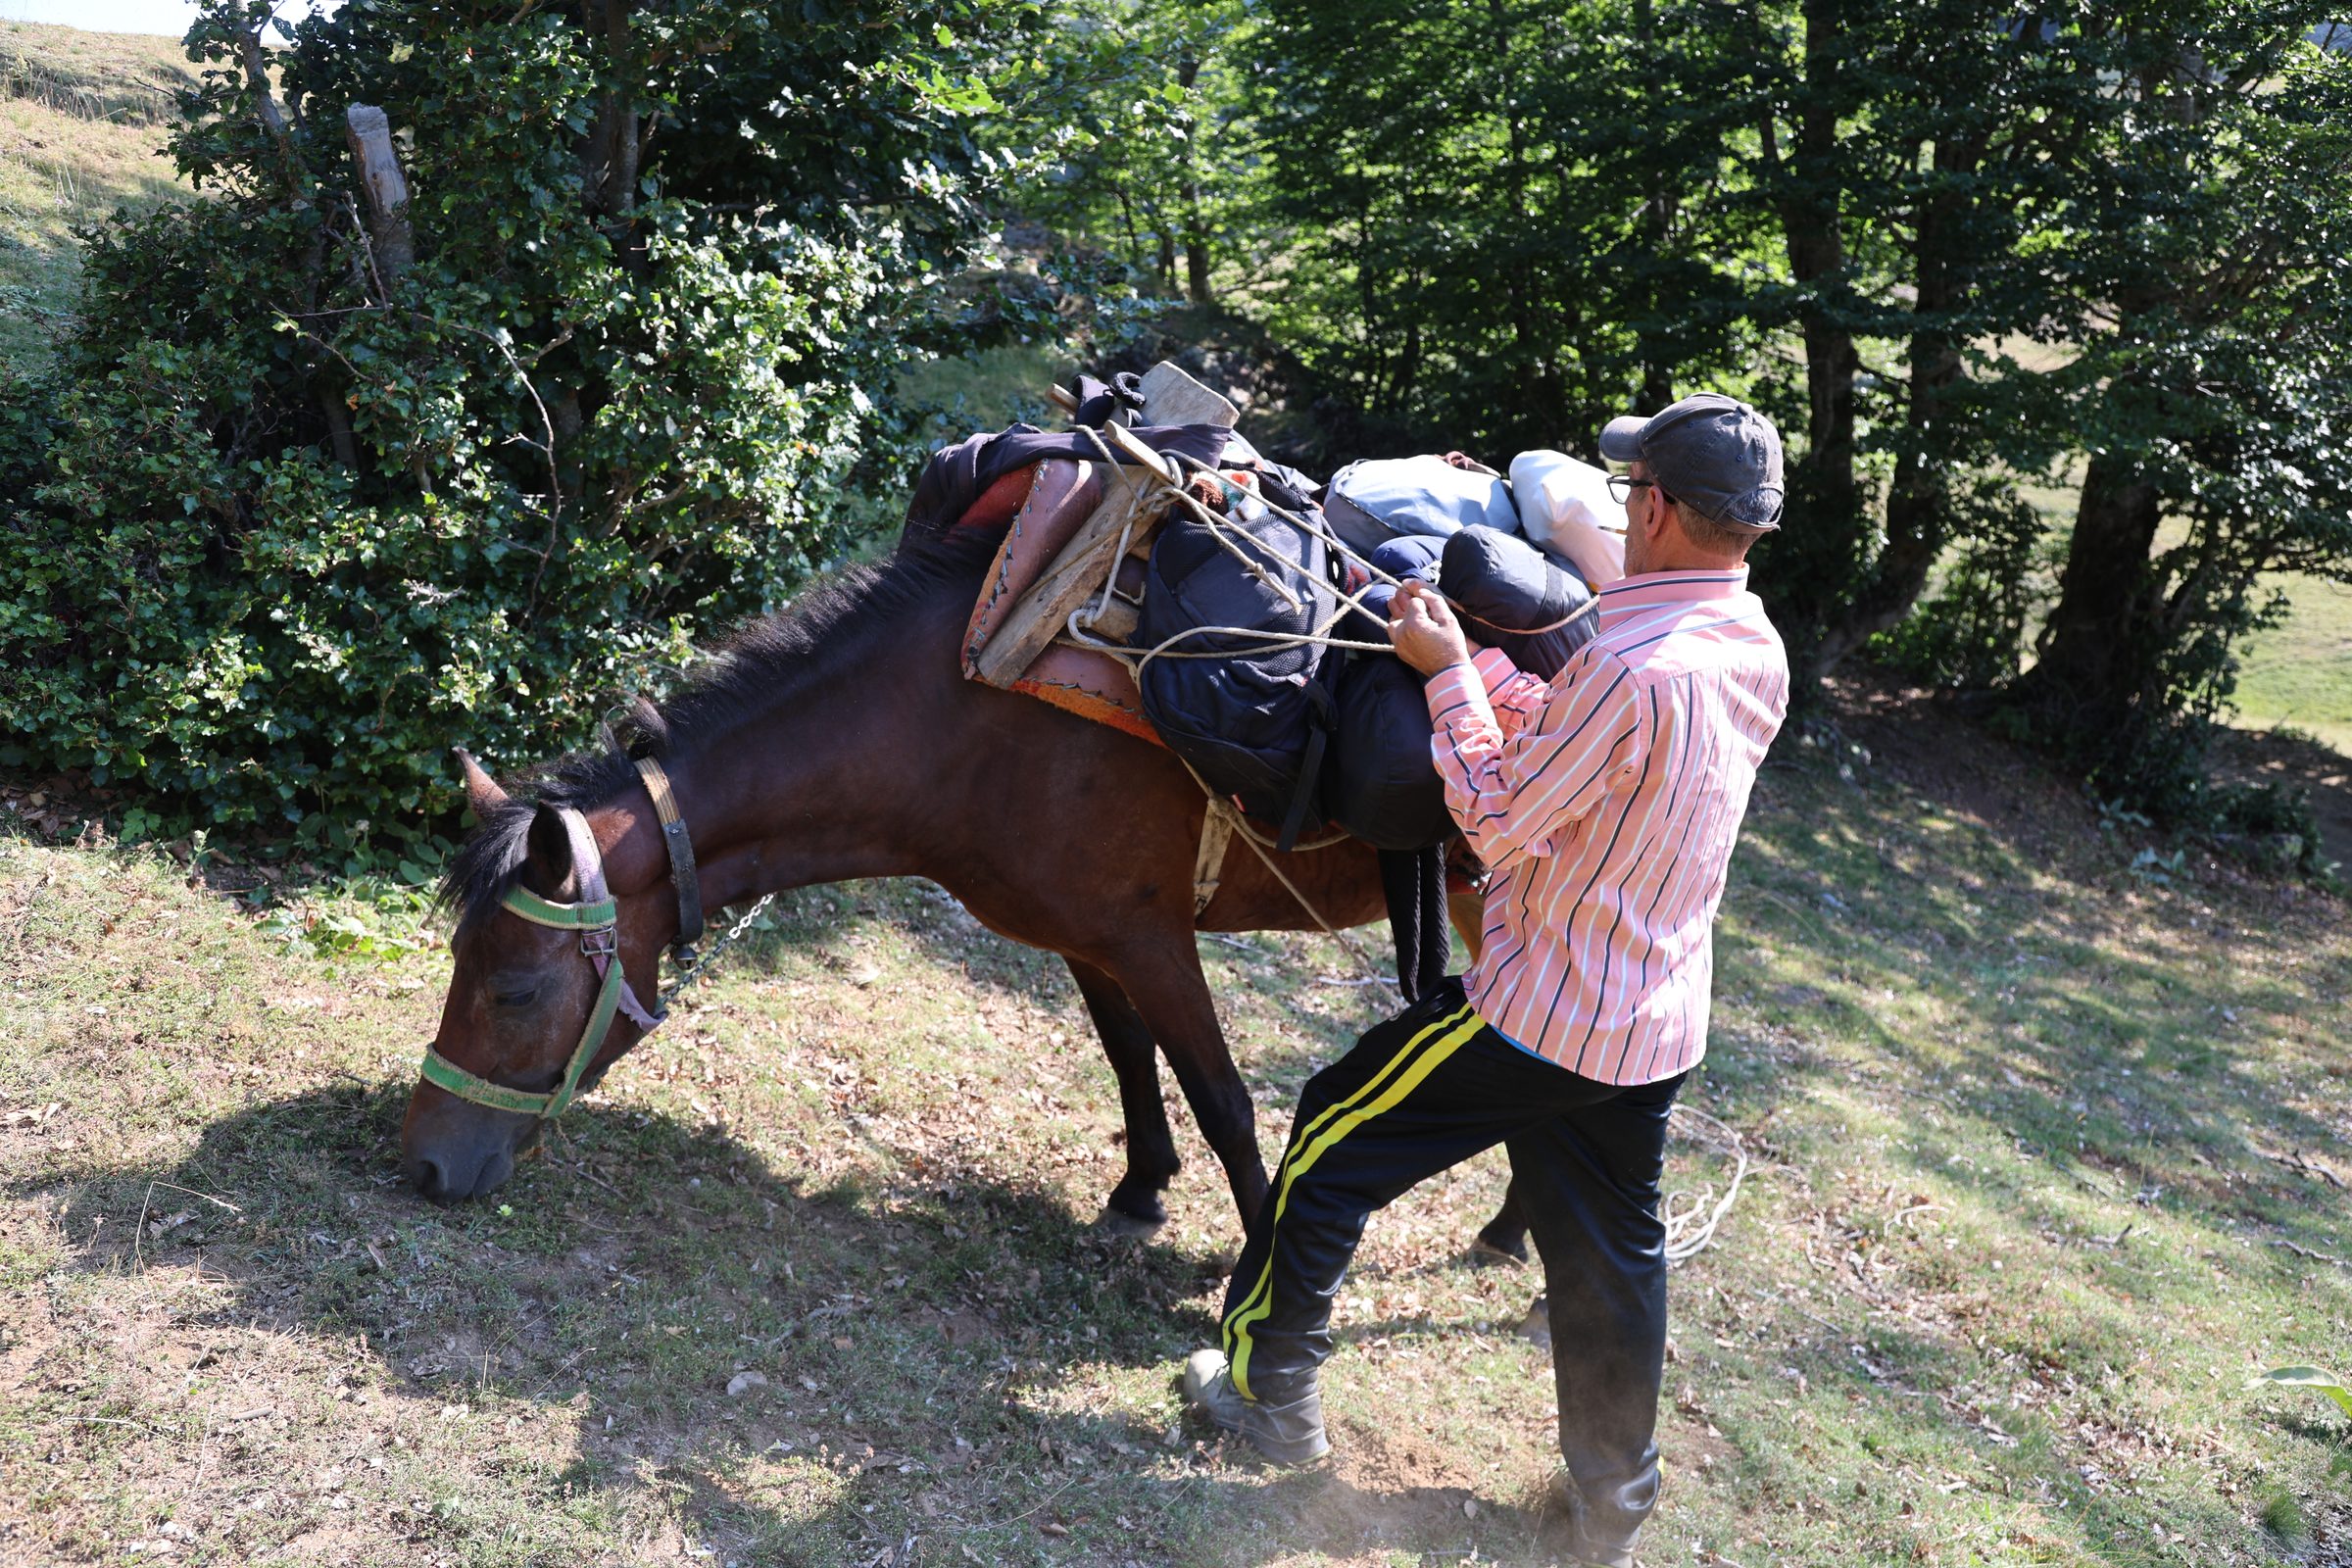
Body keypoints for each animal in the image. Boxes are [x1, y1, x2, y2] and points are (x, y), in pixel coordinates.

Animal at [405, 529, 1426, 1236]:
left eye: (515, 989)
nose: (423, 1165)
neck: (966, 727)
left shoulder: (1152, 940)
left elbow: (1224, 1103)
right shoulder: (1090, 938)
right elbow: (1131, 1057)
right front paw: (1141, 1190)